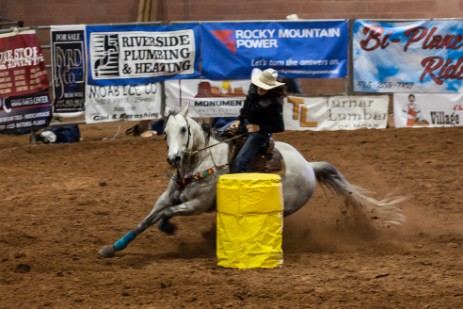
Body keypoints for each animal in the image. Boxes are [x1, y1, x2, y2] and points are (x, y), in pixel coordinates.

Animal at [99, 104, 406, 256]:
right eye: (165, 132)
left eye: (184, 130)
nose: (173, 158)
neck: (199, 163)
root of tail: (308, 166)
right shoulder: (166, 197)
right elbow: (145, 220)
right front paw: (113, 247)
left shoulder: (197, 205)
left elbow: (165, 215)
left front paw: (168, 226)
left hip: (285, 206)